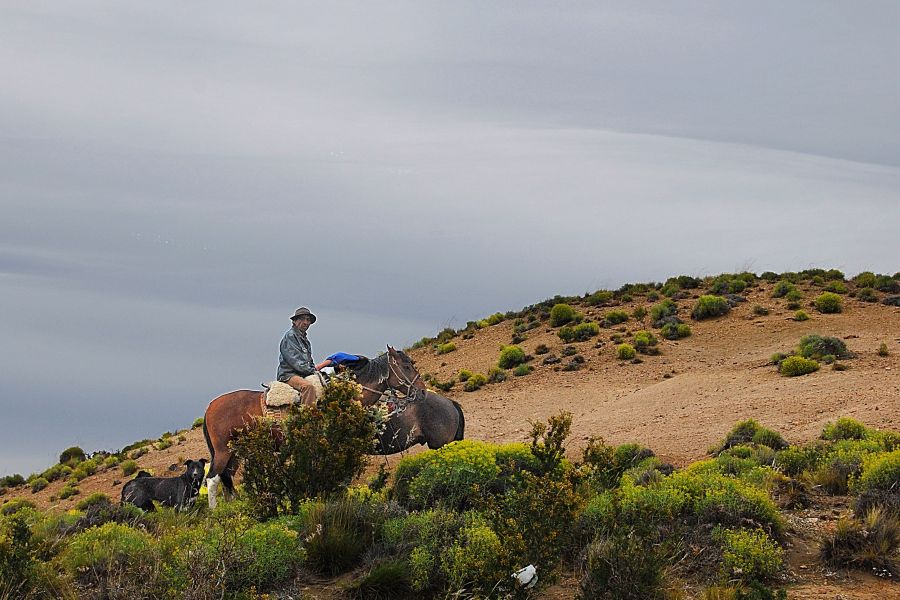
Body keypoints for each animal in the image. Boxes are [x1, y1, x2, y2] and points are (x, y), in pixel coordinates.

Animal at [202, 346, 428, 506]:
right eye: (406, 366)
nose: (422, 391)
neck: (342, 397)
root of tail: (210, 406)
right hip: (222, 451)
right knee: (213, 479)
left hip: (235, 453)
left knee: (227, 479)